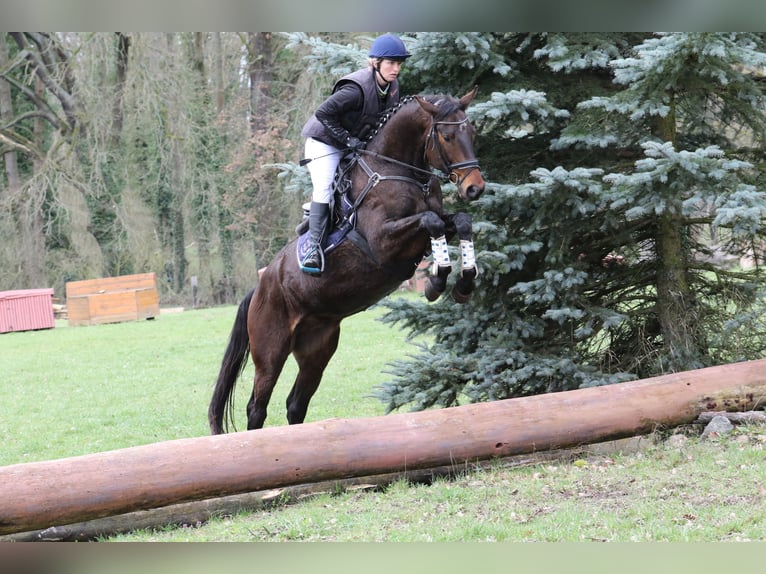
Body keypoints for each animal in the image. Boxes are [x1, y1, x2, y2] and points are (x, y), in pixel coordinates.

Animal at [210, 88, 486, 434]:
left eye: (472, 134)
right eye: (447, 136)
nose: (475, 188)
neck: (398, 170)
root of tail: (260, 286)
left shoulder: (432, 226)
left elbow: (460, 221)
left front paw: (464, 283)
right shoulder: (383, 242)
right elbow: (431, 222)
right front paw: (437, 281)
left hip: (317, 348)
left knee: (296, 403)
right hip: (270, 349)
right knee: (257, 407)